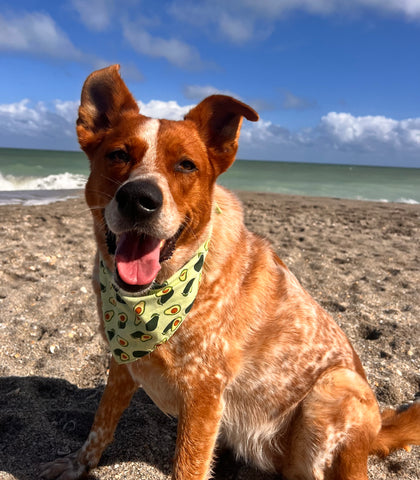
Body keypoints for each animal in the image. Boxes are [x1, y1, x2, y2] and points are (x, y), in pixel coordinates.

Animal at [41, 64, 418, 480]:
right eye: (118, 154)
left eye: (186, 165)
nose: (139, 199)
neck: (157, 298)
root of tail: (378, 432)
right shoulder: (123, 364)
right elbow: (100, 424)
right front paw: (78, 463)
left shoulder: (203, 392)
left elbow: (187, 466)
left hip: (334, 389)